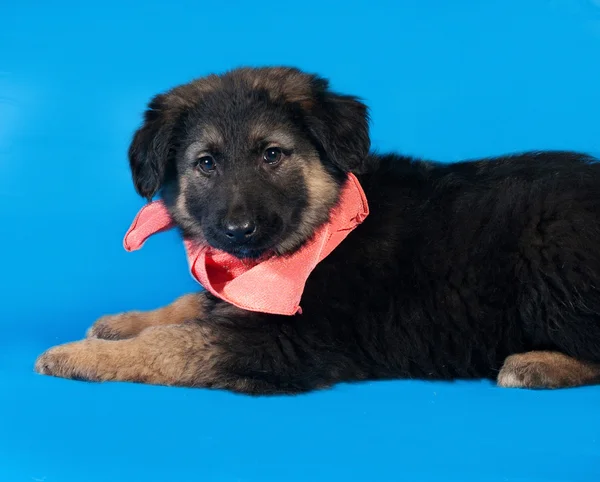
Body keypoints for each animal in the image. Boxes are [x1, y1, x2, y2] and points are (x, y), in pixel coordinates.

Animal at [35, 66, 600, 394]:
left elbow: (169, 344)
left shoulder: (282, 343)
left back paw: (537, 364)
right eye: (206, 164)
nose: (238, 230)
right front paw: (123, 321)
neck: (319, 232)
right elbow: (194, 304)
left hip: (550, 253)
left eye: (272, 155)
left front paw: (79, 355)